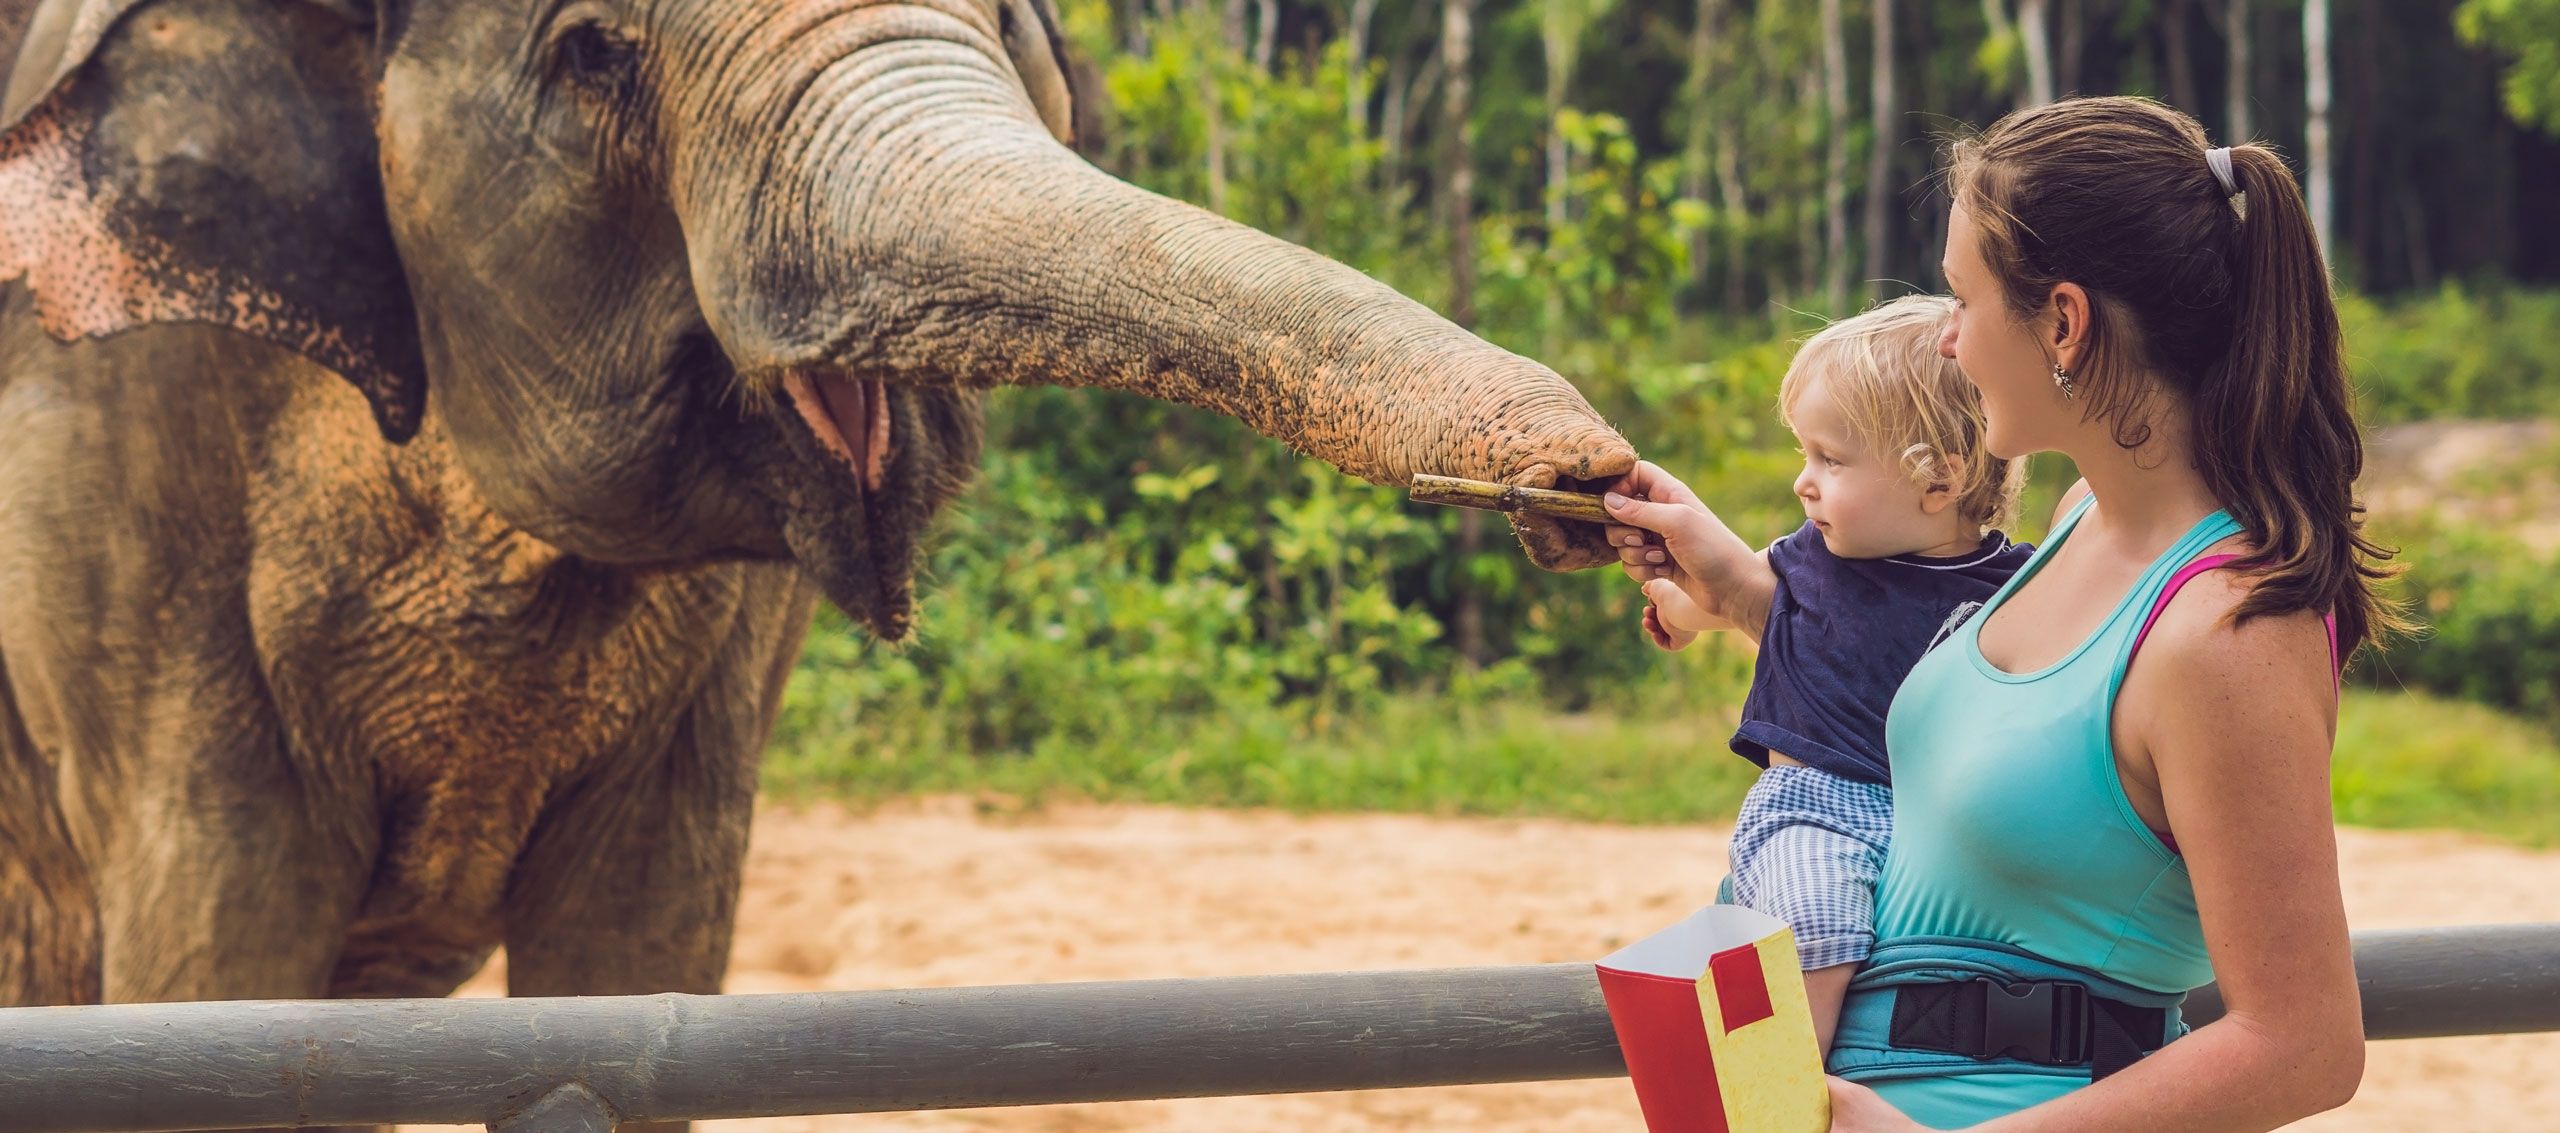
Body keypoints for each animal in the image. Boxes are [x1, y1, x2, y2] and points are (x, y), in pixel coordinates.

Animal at [0, 0, 1638, 1079]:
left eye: (1005, 14)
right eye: (592, 49)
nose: (1596, 485)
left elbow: (640, 957)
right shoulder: (112, 487)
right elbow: (222, 949)